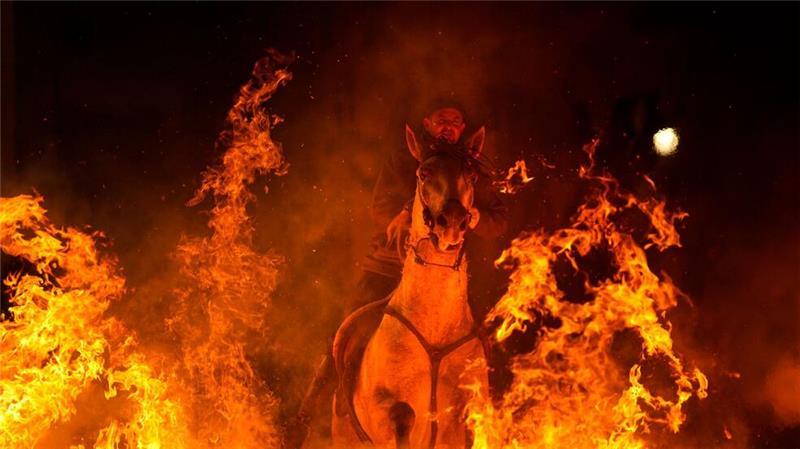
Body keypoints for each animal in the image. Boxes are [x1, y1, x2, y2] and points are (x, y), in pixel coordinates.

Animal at [331, 126, 490, 449]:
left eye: (471, 176)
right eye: (423, 173)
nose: (451, 222)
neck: (436, 331)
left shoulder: (470, 409)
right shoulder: (382, 409)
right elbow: (403, 414)